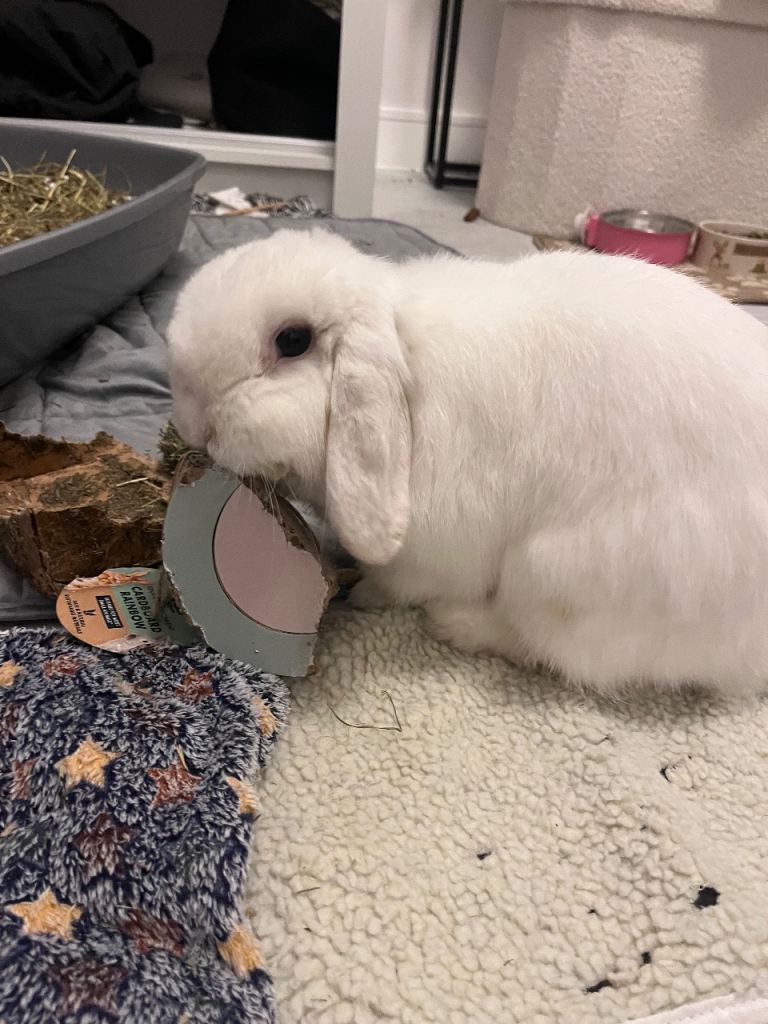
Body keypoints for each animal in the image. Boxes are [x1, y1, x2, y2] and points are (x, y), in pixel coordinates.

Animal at [168, 227, 768, 698]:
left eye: (292, 340)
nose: (195, 424)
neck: (406, 364)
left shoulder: (434, 548)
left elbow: (399, 583)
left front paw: (363, 594)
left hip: (557, 574)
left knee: (550, 648)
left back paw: (456, 625)